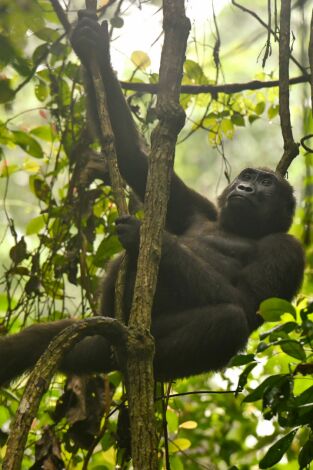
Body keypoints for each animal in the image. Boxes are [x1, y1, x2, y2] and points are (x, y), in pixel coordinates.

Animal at [0, 11, 304, 386]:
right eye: (245, 177)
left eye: (265, 182)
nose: (244, 189)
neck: (236, 228)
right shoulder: (200, 208)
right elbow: (134, 159)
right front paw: (93, 48)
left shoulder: (288, 249)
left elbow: (245, 303)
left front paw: (149, 237)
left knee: (229, 320)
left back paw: (140, 354)